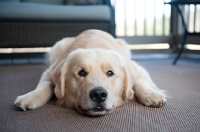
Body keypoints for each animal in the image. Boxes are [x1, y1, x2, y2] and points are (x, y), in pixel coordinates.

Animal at [14, 29, 167, 115]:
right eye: (81, 72)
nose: (99, 94)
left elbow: (139, 82)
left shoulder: (137, 69)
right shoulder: (50, 71)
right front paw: (29, 97)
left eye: (110, 73)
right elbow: (45, 86)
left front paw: (152, 95)